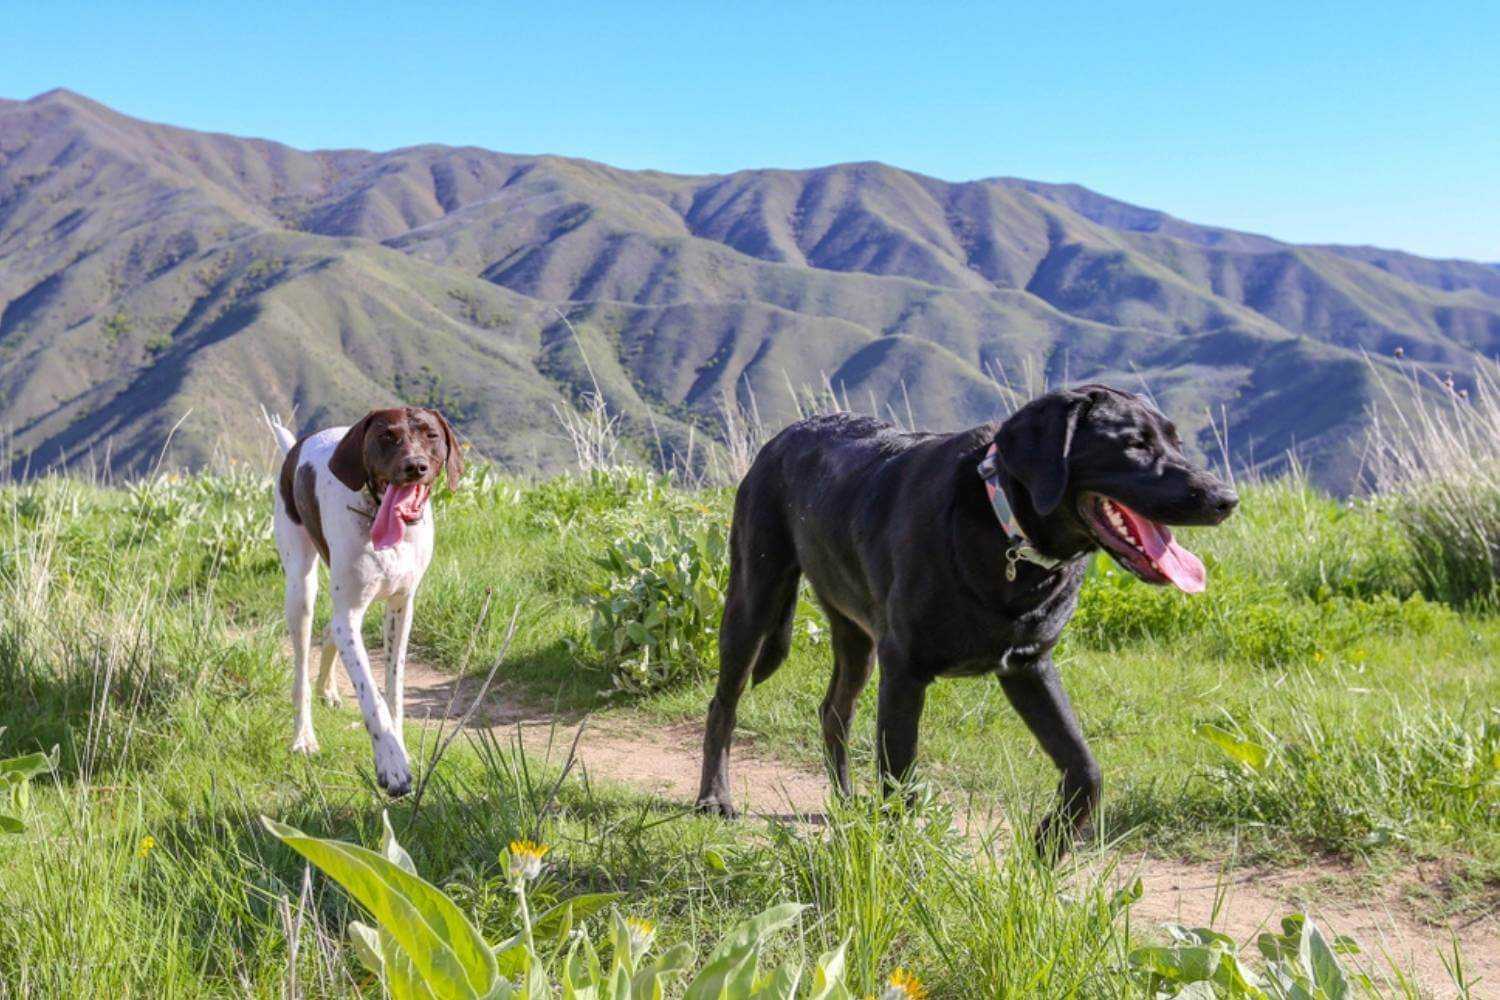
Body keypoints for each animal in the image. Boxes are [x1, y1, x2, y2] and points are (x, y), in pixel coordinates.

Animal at [267, 407, 459, 797]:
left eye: (430, 435)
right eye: (387, 436)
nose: (415, 466)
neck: (374, 511)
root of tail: (295, 447)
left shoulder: (401, 607)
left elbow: (393, 691)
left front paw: (399, 746)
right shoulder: (350, 615)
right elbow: (372, 697)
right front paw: (391, 763)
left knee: (328, 632)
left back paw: (327, 690)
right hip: (300, 588)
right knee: (301, 671)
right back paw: (304, 736)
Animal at [696, 383, 1236, 851]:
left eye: (1175, 441)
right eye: (1134, 445)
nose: (1226, 499)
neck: (1009, 536)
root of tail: (785, 434)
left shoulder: (1029, 667)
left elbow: (1087, 770)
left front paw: (1047, 849)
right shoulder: (904, 672)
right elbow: (900, 778)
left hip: (856, 634)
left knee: (833, 710)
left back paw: (846, 801)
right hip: (754, 597)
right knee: (724, 703)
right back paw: (714, 799)